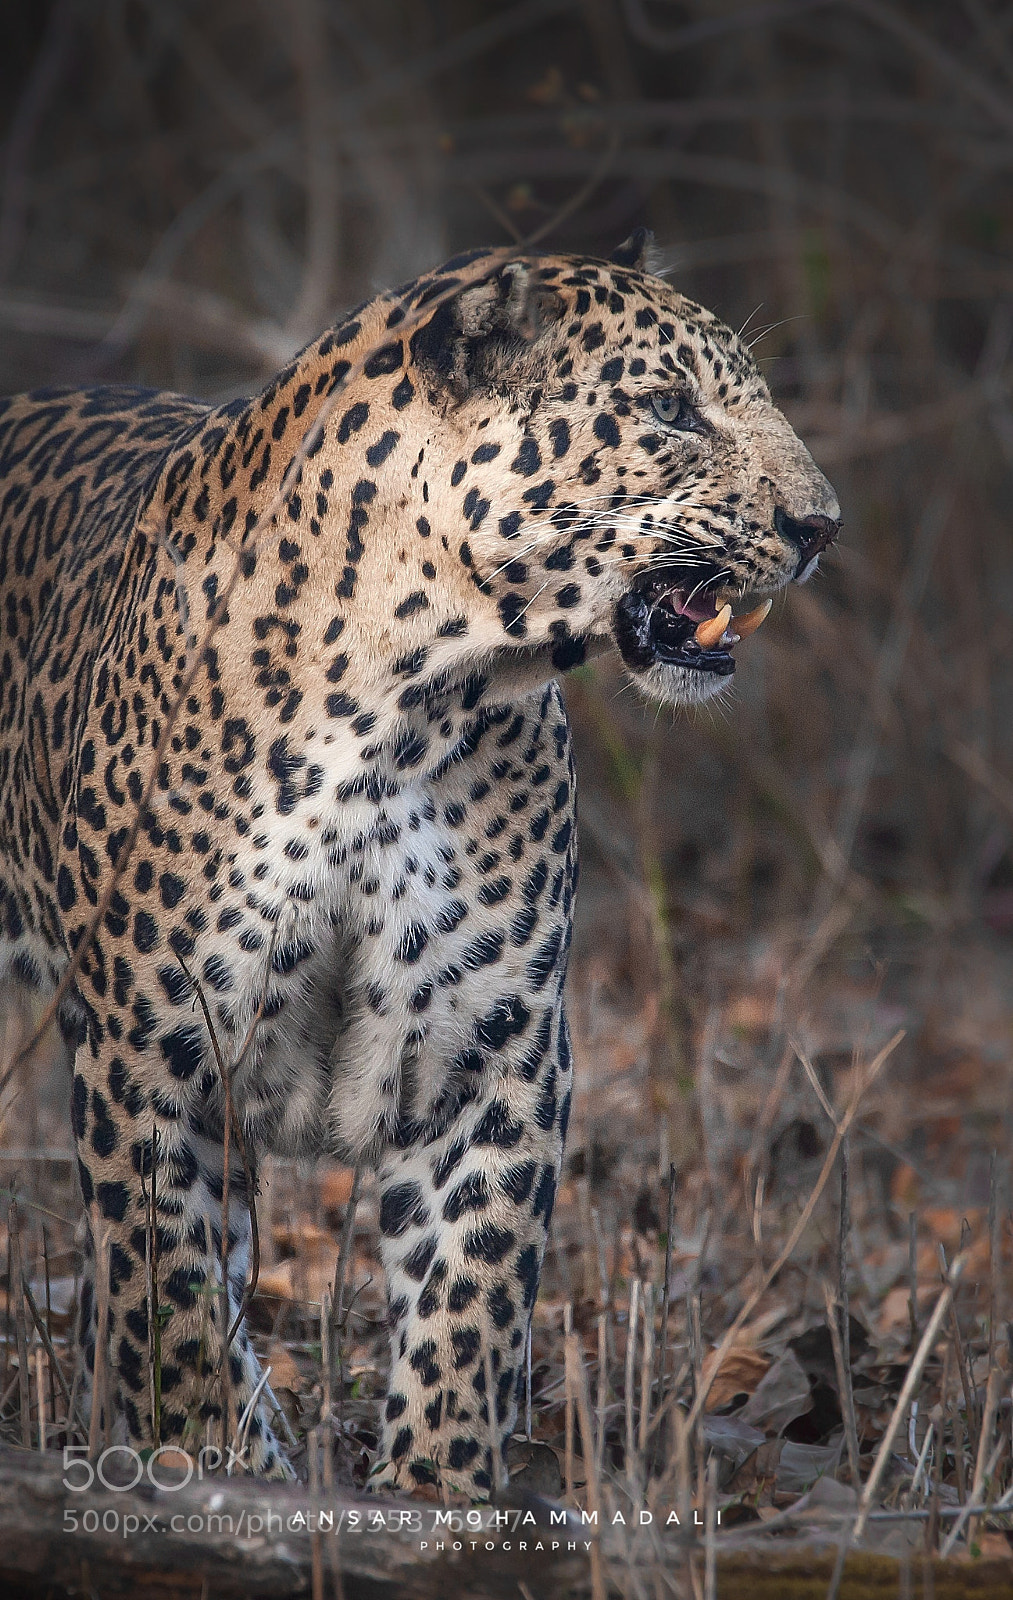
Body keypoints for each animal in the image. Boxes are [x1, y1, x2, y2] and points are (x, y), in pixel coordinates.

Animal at [0, 230, 839, 1498]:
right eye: (668, 408)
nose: (820, 524)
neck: (406, 704)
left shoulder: (490, 1049)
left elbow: (468, 1298)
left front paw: (435, 1490)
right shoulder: (152, 1052)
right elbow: (175, 1298)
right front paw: (211, 1465)